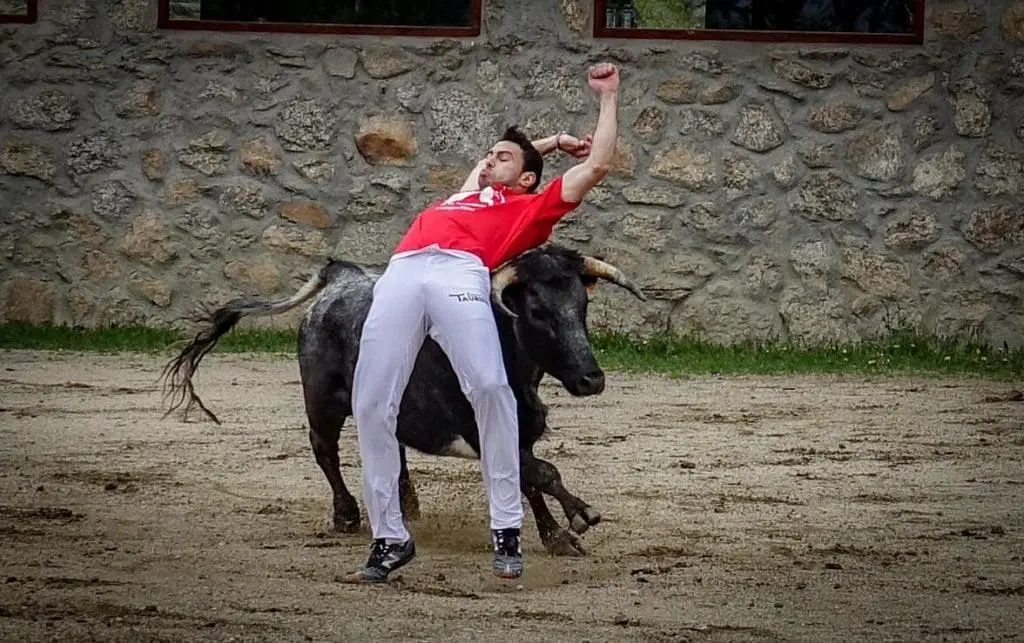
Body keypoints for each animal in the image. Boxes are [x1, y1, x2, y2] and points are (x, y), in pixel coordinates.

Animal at [162, 243, 643, 556]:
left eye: (582, 306)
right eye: (537, 311)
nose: (591, 379)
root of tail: (342, 278)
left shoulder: (516, 434)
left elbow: (528, 479)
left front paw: (557, 537)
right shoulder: (484, 431)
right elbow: (542, 473)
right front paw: (582, 515)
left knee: (389, 446)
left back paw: (404, 506)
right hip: (320, 400)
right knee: (324, 450)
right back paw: (347, 515)